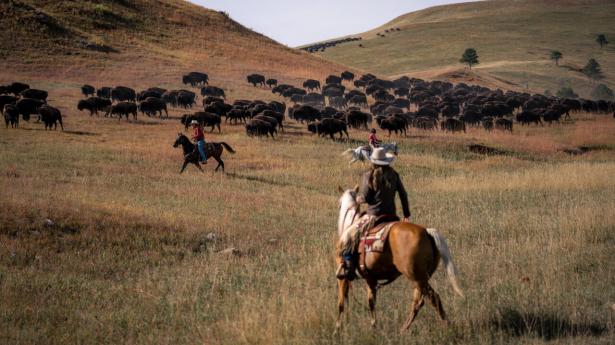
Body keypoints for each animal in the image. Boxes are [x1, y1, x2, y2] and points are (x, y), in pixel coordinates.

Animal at [336, 187, 462, 332]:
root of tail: (426, 231)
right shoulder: (370, 278)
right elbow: (371, 302)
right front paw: (374, 326)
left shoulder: (343, 277)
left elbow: (341, 303)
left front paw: (337, 329)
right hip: (421, 278)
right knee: (420, 301)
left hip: (416, 277)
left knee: (430, 299)